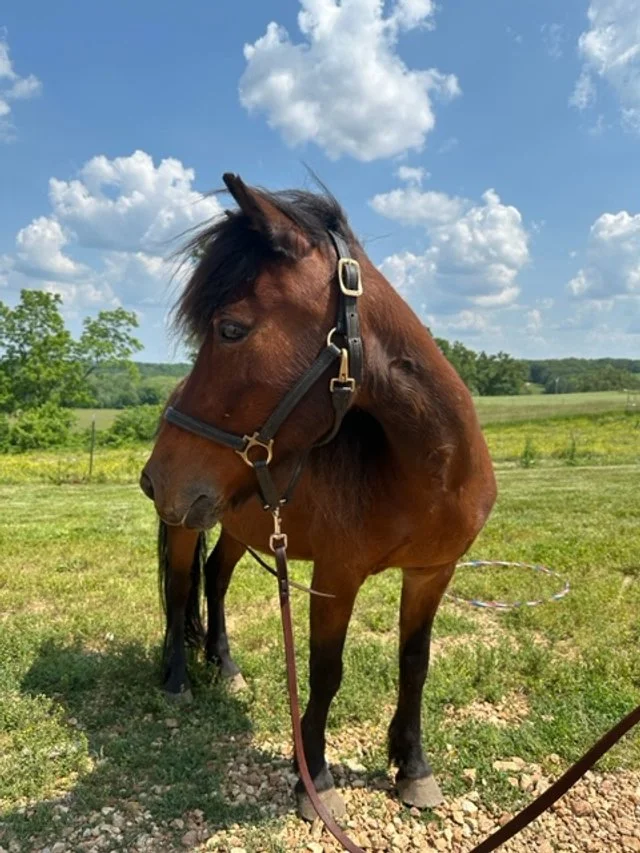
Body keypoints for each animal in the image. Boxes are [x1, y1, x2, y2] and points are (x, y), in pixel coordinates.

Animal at [140, 173, 497, 820]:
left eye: (231, 329)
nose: (156, 478)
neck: (425, 474)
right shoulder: (337, 578)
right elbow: (326, 670)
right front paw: (315, 776)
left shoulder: (433, 573)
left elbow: (415, 665)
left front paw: (412, 767)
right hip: (185, 523)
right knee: (180, 592)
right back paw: (178, 678)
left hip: (236, 524)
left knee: (215, 578)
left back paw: (224, 665)